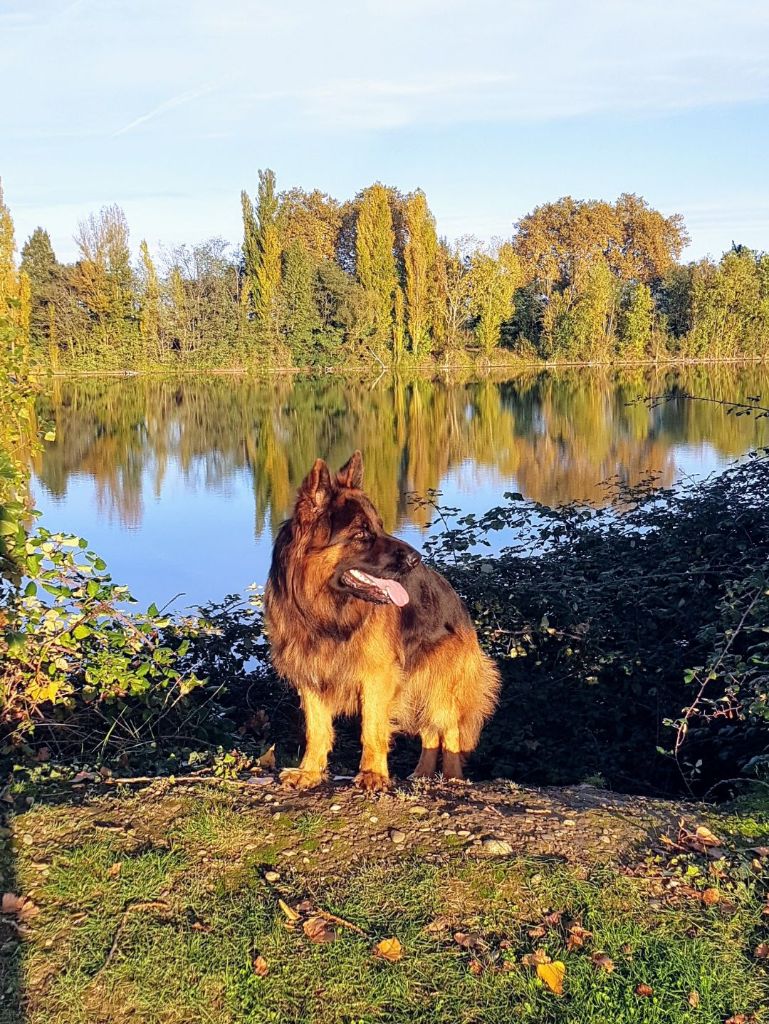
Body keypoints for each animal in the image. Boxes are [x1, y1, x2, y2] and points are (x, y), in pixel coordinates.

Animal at [264, 450, 501, 790]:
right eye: (361, 534)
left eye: (379, 525)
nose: (416, 559)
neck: (326, 611)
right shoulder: (310, 674)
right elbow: (317, 730)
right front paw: (309, 771)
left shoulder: (377, 676)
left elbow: (372, 728)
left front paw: (373, 774)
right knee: (430, 732)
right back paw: (422, 773)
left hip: (439, 687)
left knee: (448, 730)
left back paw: (452, 779)